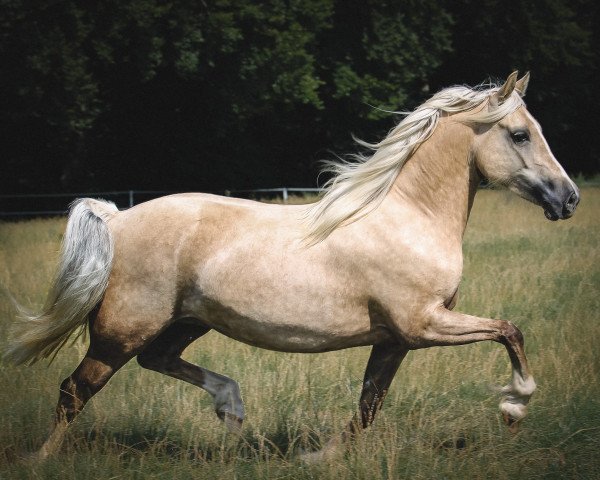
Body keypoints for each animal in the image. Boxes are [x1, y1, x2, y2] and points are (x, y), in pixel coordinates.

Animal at [3, 72, 576, 462]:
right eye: (520, 135)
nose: (568, 199)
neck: (408, 217)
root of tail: (118, 219)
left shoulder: (395, 339)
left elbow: (369, 404)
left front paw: (318, 458)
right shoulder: (424, 324)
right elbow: (509, 330)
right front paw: (515, 405)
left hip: (185, 321)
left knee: (157, 361)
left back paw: (232, 408)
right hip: (122, 330)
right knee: (75, 390)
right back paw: (40, 460)